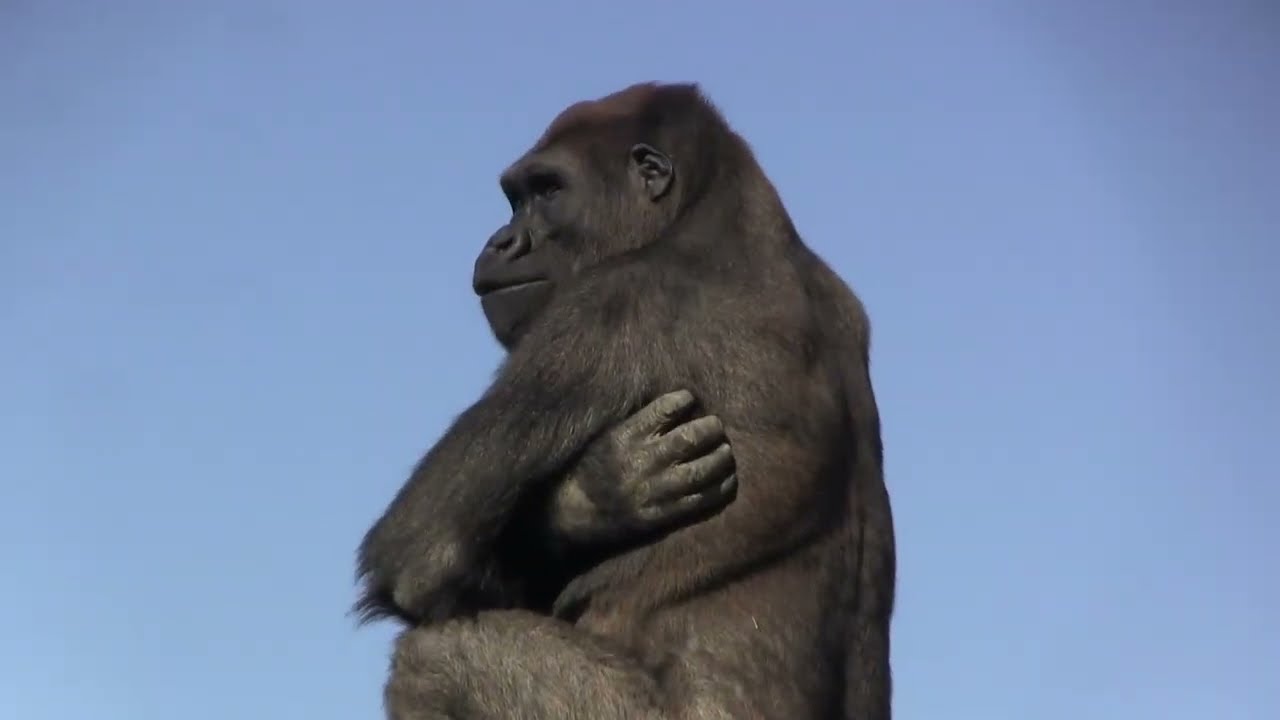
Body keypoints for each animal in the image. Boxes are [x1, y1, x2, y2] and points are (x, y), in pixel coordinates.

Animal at [357, 81, 895, 720]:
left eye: (549, 191)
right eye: (515, 199)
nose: (501, 242)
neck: (711, 201)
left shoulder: (606, 302)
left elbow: (421, 552)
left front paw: (597, 494)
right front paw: (607, 492)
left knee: (433, 658)